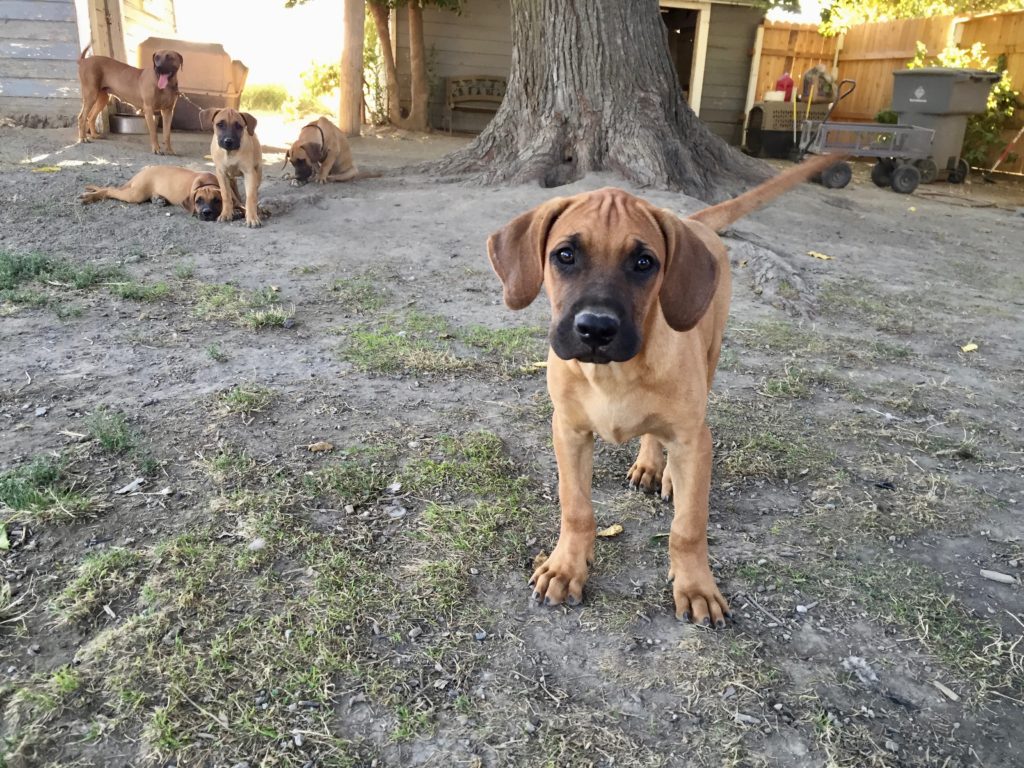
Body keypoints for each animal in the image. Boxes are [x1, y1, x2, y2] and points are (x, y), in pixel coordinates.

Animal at [487, 153, 847, 626]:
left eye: (644, 263)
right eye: (564, 255)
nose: (596, 329)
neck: (614, 374)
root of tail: (692, 222)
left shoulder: (694, 438)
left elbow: (688, 527)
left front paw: (696, 586)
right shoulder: (568, 431)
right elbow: (576, 507)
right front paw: (566, 566)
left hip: (710, 362)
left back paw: (668, 471)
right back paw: (649, 464)